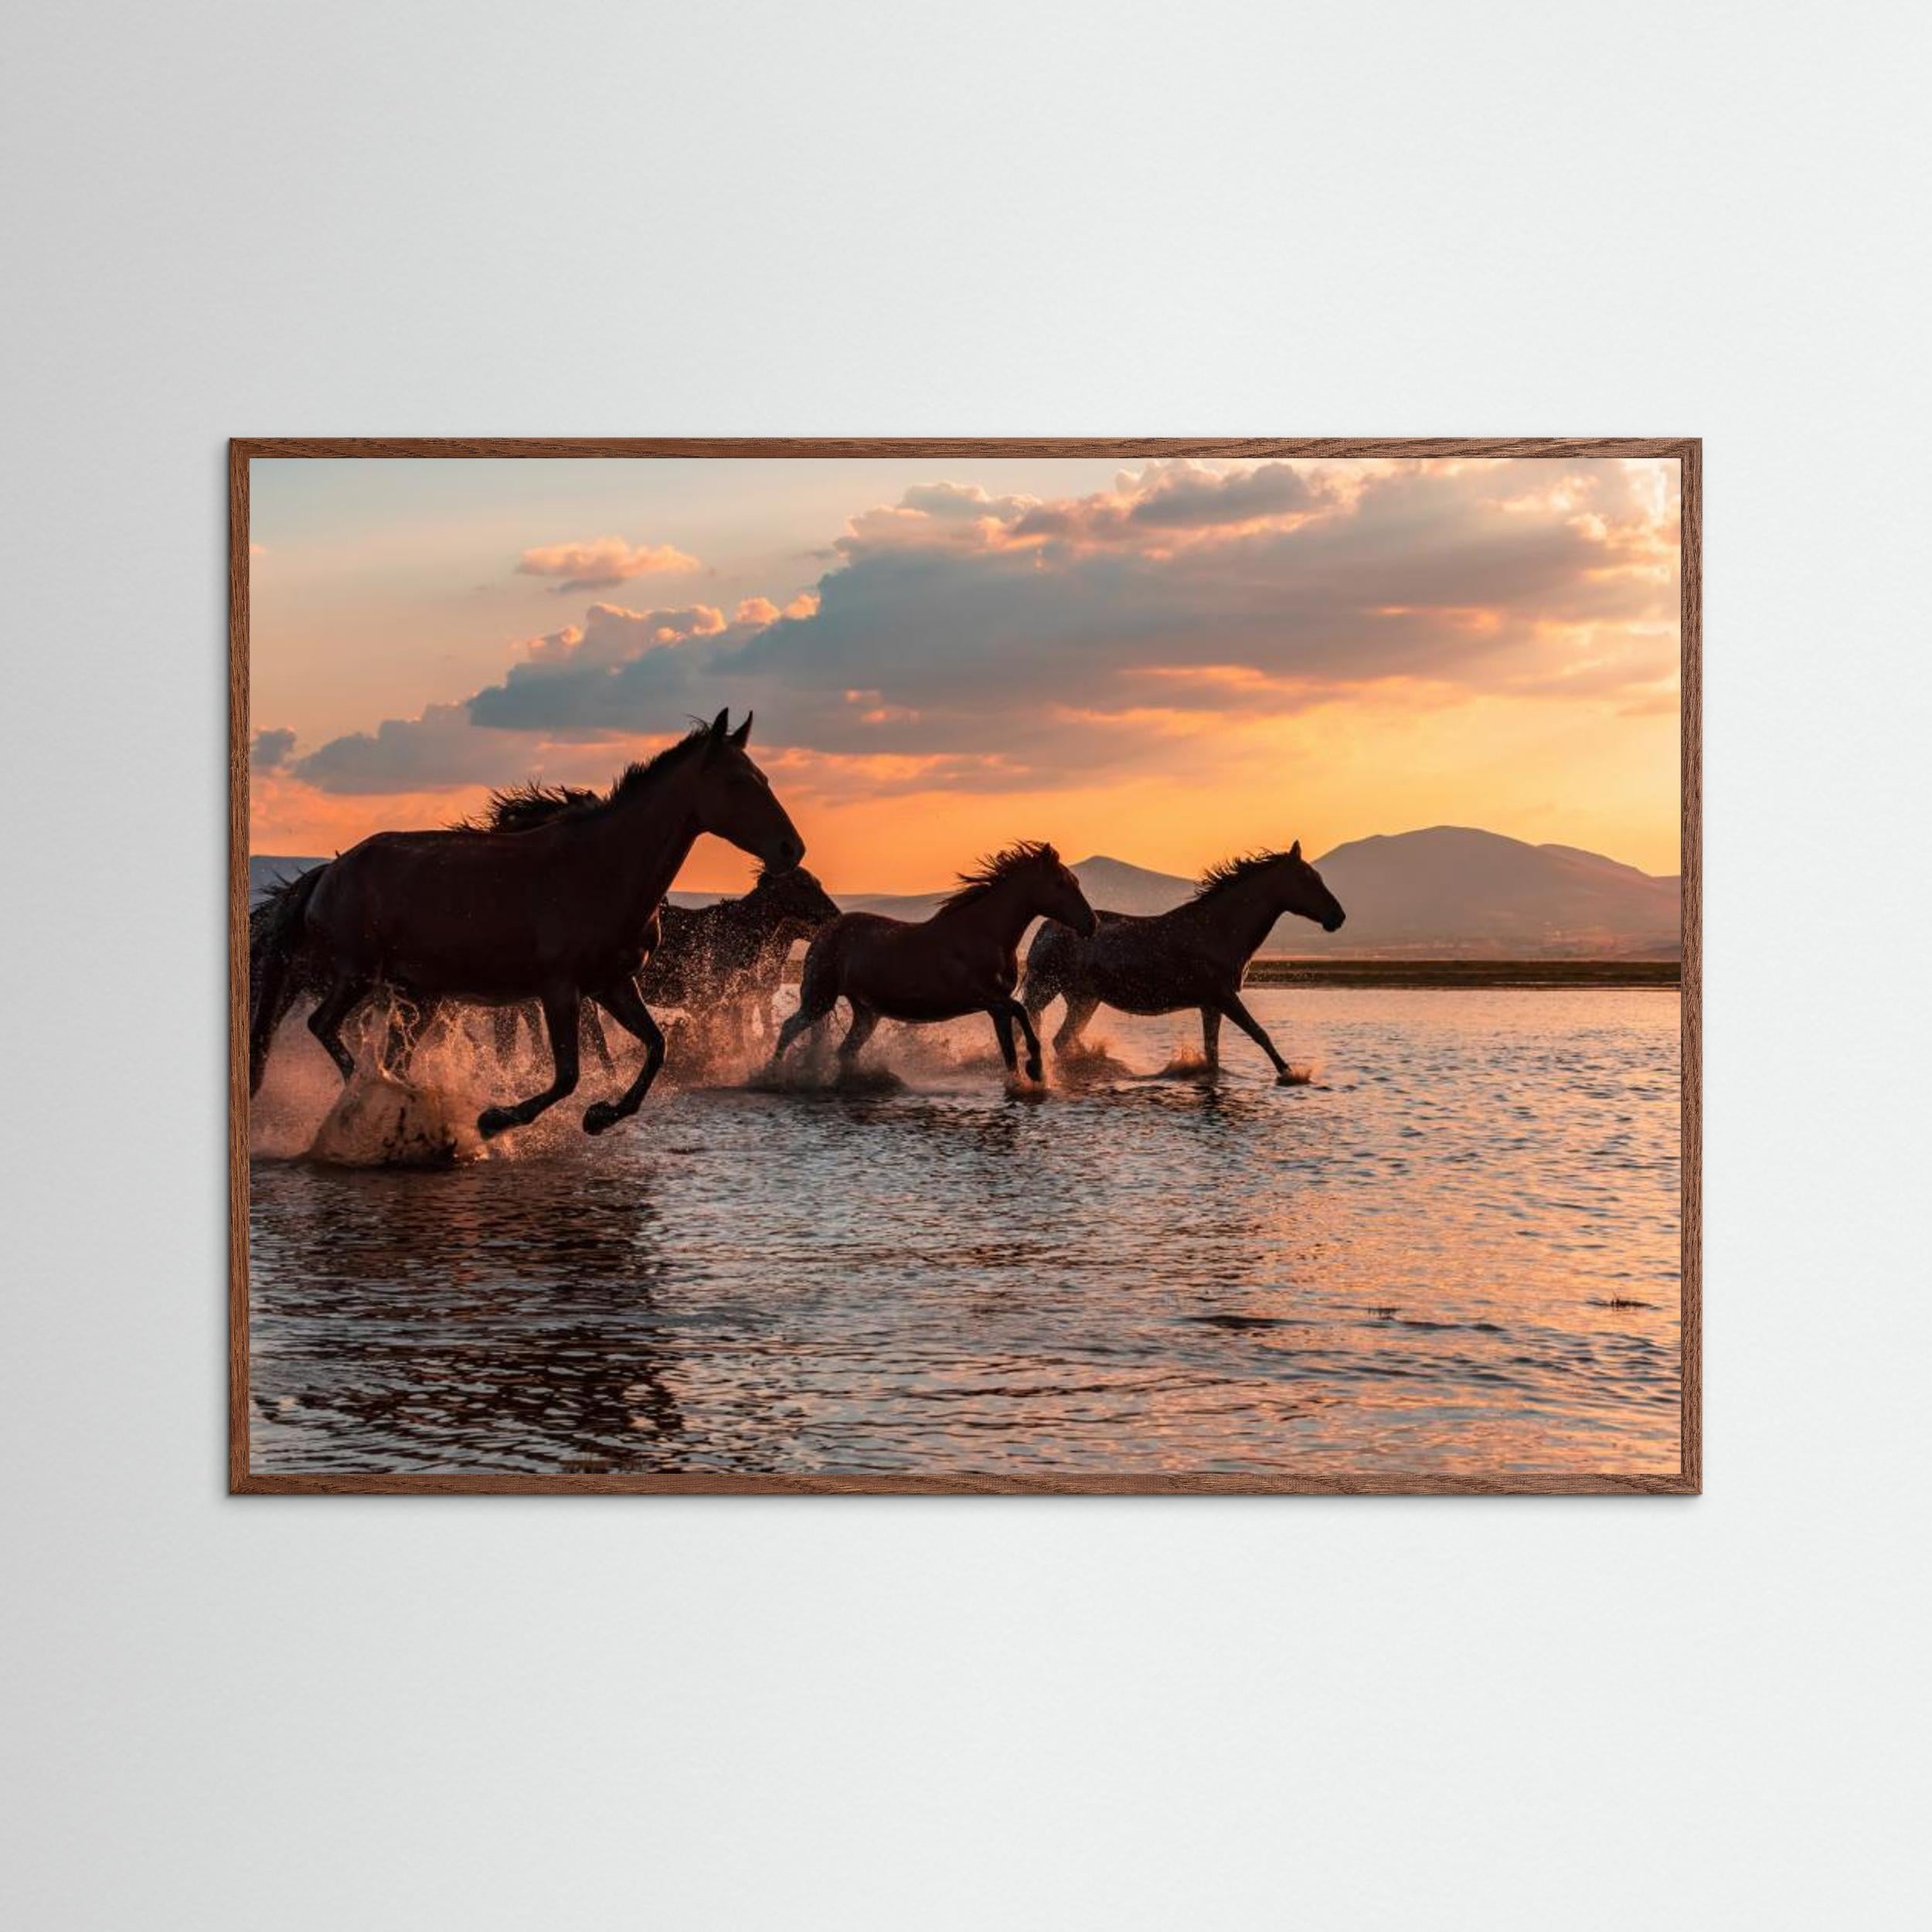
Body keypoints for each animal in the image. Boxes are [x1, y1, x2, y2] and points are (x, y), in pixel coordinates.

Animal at [248, 710, 804, 1137]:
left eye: (766, 779)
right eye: (737, 781)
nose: (790, 849)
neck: (603, 867)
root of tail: (330, 871)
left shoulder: (613, 984)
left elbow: (655, 1048)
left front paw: (601, 1116)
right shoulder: (559, 989)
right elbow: (567, 1075)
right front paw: (496, 1119)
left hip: (419, 995)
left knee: (392, 1055)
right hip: (359, 974)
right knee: (325, 1026)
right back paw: (375, 1097)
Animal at [771, 842, 1097, 1083]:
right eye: (1061, 883)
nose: (1092, 924)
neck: (984, 933)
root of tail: (824, 932)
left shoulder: (996, 1008)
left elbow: (1009, 1052)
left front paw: (1024, 1080)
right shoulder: (986, 998)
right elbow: (1022, 1012)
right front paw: (1037, 1069)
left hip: (866, 1012)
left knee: (845, 1051)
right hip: (819, 999)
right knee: (788, 1029)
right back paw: (772, 1075)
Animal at [1020, 844, 1345, 1082]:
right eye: (1307, 879)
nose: (1338, 917)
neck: (1219, 929)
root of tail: (1046, 928)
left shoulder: (1211, 1005)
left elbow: (1213, 1053)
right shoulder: (1224, 997)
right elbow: (1259, 1034)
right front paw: (1291, 1074)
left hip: (1084, 999)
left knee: (1062, 1039)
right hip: (1046, 989)